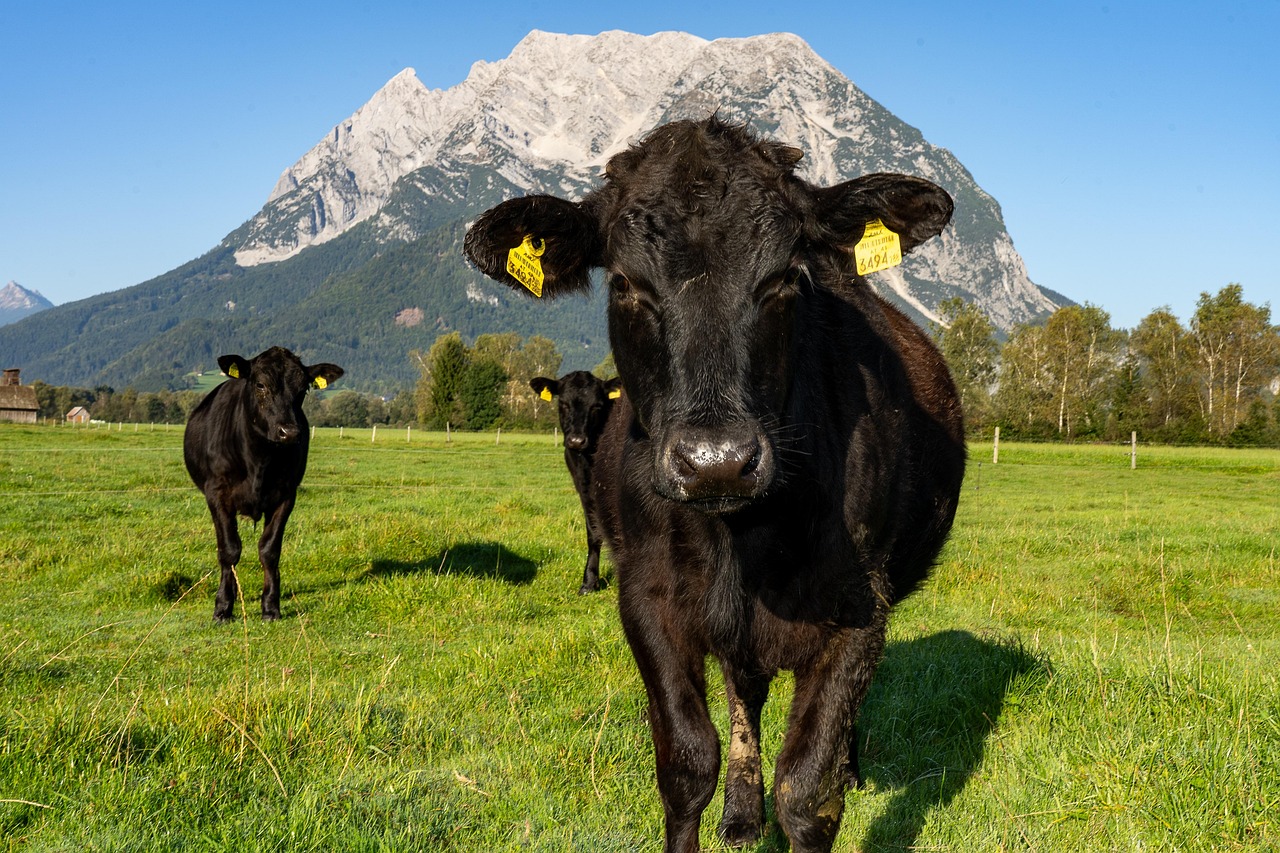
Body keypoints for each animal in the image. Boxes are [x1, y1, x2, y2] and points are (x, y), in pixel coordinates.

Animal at [183, 346, 343, 623]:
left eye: (303, 389)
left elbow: (269, 549)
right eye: (260, 385)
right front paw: (223, 607)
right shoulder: (217, 494)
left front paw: (270, 606)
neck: (259, 458)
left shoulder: (286, 495)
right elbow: (229, 550)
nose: (289, 432)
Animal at [529, 370, 623, 594]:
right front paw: (589, 582)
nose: (576, 441)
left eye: (597, 405)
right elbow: (594, 533)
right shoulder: (585, 489)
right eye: (563, 403)